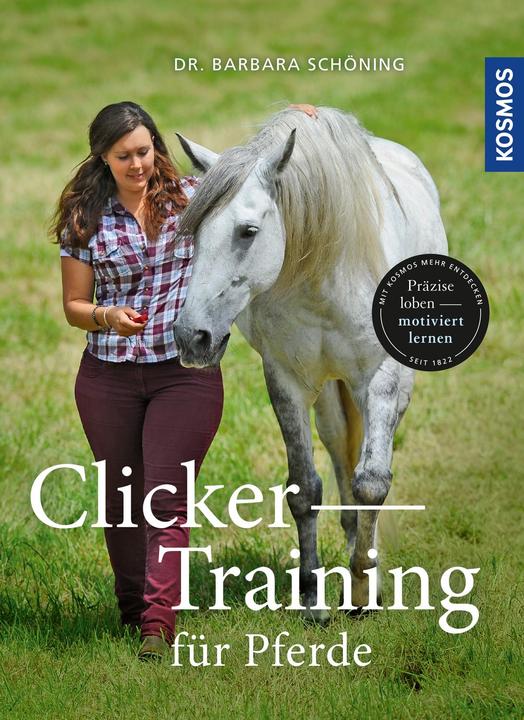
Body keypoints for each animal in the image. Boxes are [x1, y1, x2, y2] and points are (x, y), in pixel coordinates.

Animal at [173, 107, 447, 621]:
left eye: (248, 231)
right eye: (194, 232)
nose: (191, 337)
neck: (325, 280)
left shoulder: (379, 379)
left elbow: (372, 484)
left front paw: (361, 594)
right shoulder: (287, 380)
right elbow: (305, 490)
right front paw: (313, 599)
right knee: (341, 454)